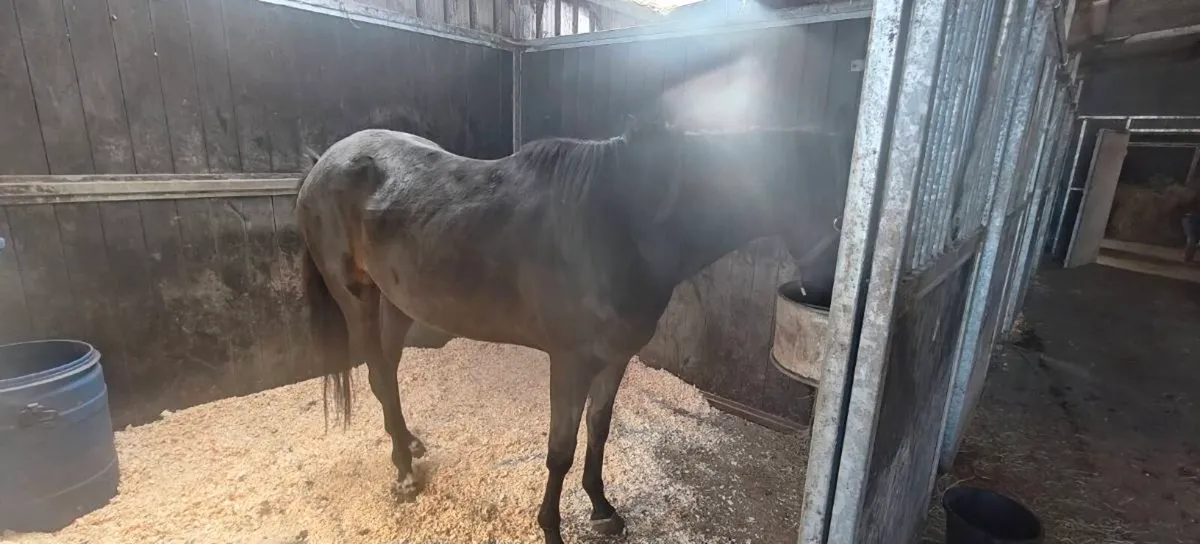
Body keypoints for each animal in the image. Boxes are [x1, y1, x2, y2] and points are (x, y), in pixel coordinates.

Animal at [295, 118, 849, 544]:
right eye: (842, 217)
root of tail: (324, 162)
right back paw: (405, 476)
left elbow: (598, 432)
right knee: (377, 375)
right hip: (356, 298)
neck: (621, 226)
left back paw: (407, 446)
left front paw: (603, 510)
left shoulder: (614, 358)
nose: (823, 295)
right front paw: (551, 527)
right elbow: (559, 449)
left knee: (387, 372)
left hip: (397, 301)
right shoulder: (570, 361)